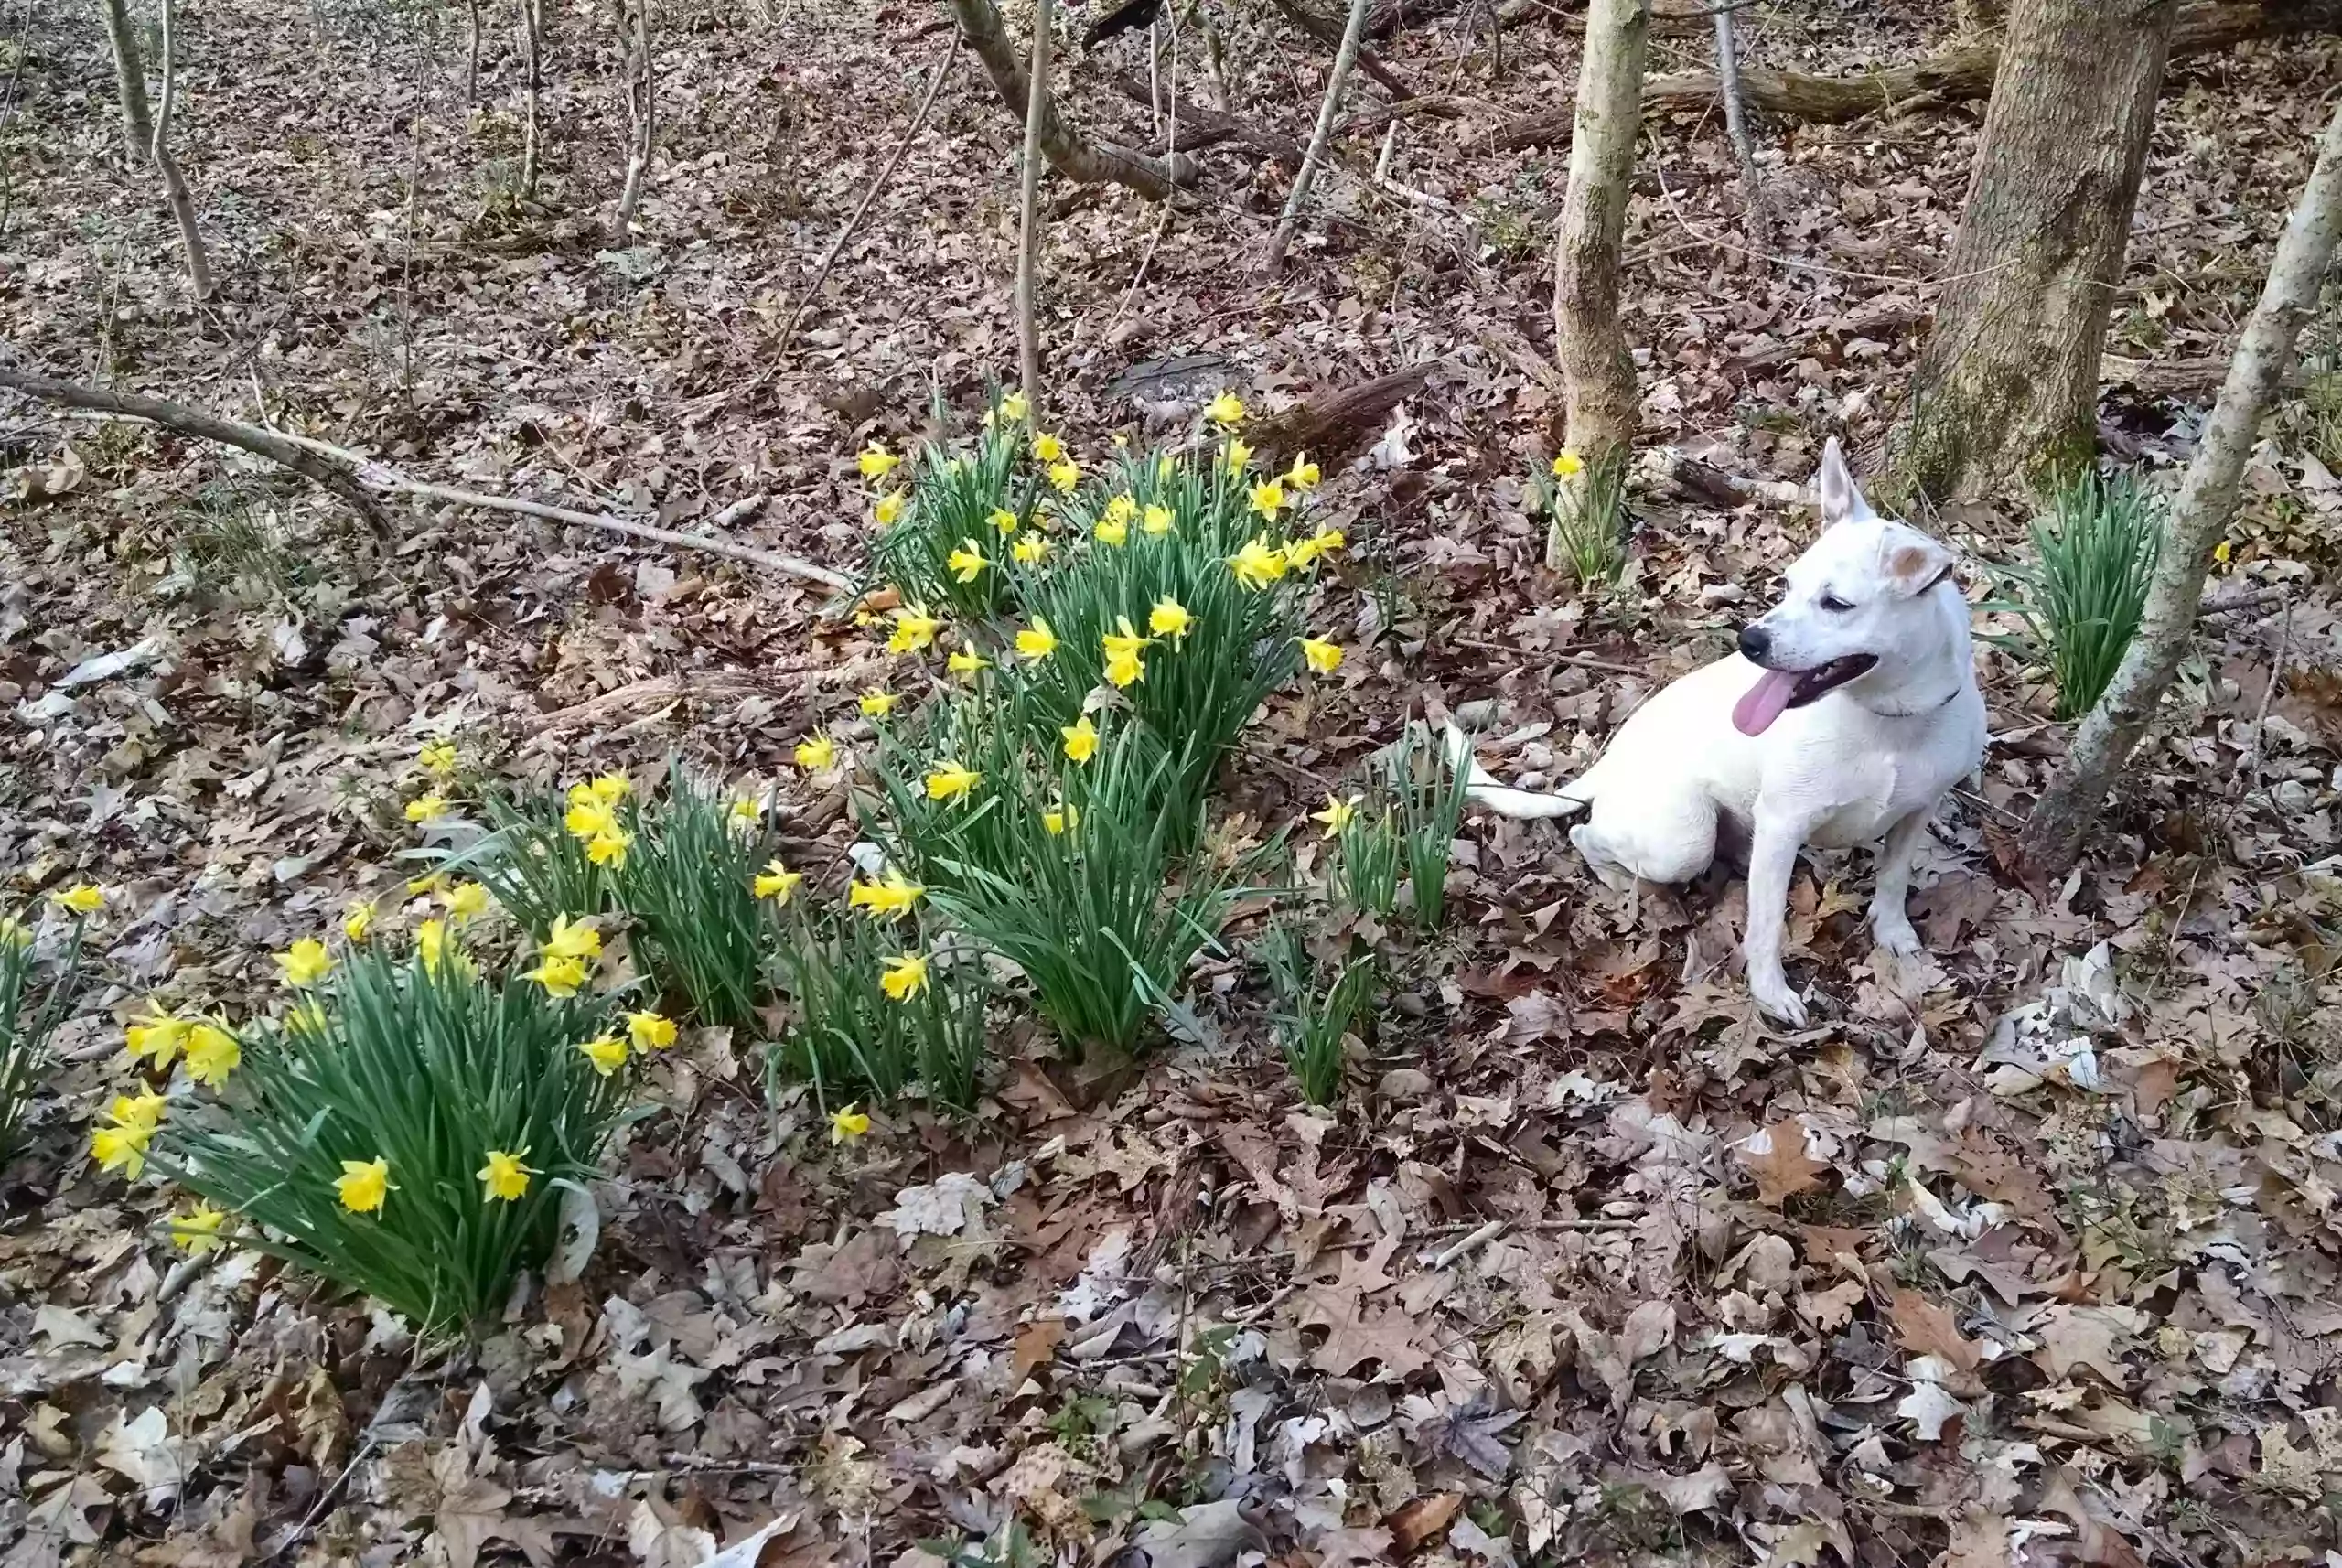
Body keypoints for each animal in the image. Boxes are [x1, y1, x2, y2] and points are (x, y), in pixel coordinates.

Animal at [1452, 442, 1985, 1029]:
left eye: (1836, 604)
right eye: (1788, 584)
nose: (1749, 640)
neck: (1890, 723)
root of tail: (1608, 764)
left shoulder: (1917, 811)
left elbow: (1893, 879)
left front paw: (1893, 934)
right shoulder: (1783, 825)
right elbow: (1766, 924)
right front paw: (1770, 992)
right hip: (1683, 840)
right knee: (1586, 836)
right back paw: (1620, 881)